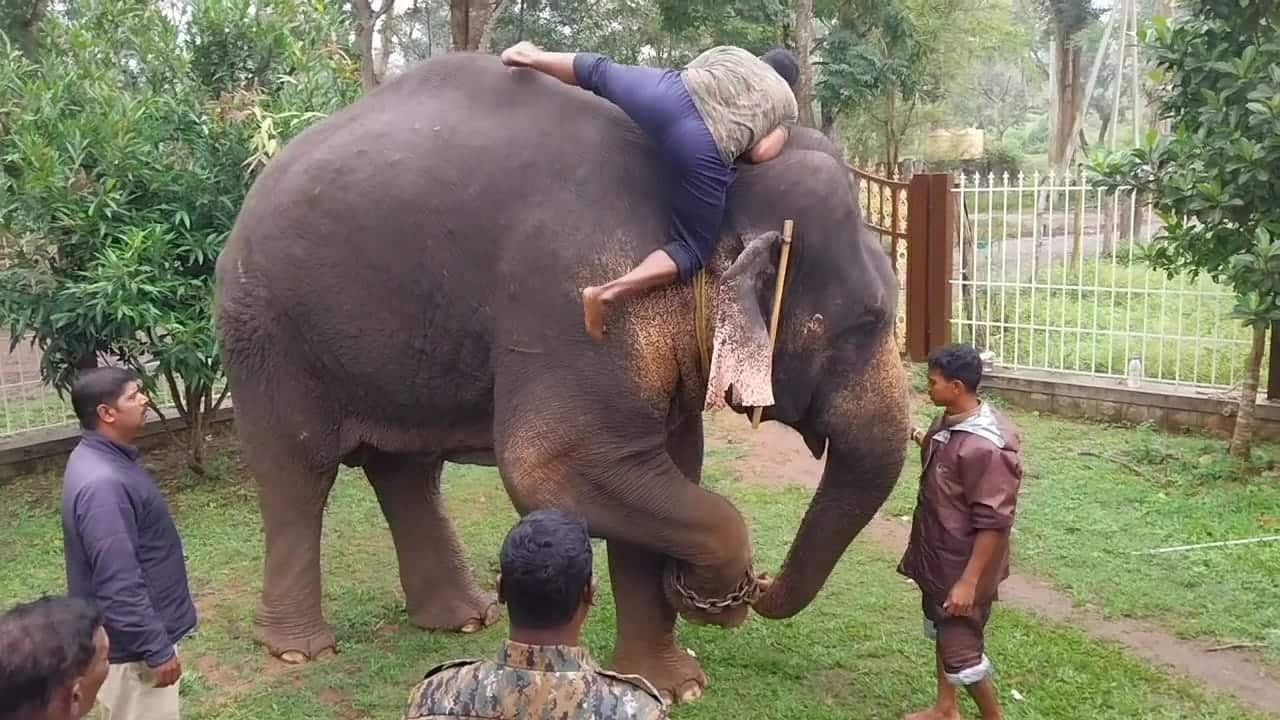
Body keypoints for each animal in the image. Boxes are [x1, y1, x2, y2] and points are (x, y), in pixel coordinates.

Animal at [212, 51, 911, 702]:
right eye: (867, 322)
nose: (760, 585)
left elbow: (665, 468)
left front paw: (675, 683)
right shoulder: (572, 297)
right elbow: (553, 465)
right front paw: (709, 600)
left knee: (406, 470)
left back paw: (462, 620)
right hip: (265, 334)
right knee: (297, 471)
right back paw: (298, 650)